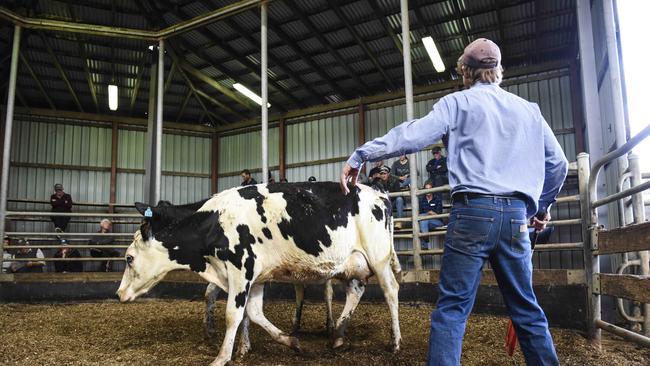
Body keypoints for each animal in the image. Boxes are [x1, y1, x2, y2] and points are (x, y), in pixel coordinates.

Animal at [117, 182, 400, 364]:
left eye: (129, 258)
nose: (119, 294)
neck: (216, 221)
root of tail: (380, 194)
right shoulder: (255, 276)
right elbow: (252, 313)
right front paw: (288, 342)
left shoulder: (241, 268)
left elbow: (233, 314)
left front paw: (222, 357)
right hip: (351, 264)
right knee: (355, 292)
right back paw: (338, 336)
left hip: (378, 259)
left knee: (391, 292)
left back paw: (395, 342)